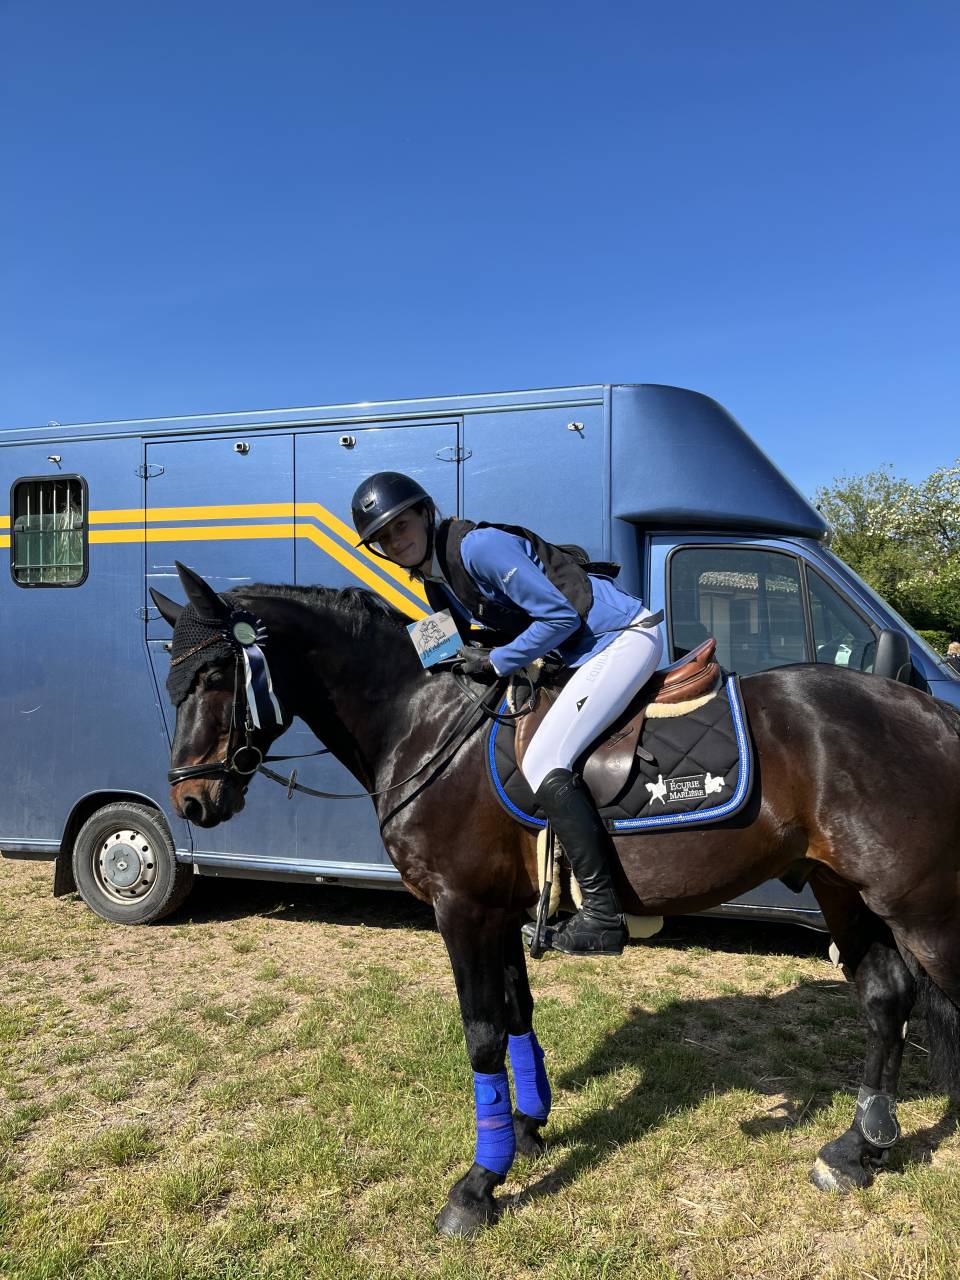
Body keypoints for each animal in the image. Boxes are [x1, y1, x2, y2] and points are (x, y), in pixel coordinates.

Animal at [152, 563, 960, 1237]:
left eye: (216, 675)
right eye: (172, 680)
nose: (192, 800)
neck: (425, 722)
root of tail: (931, 712)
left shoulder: (462, 909)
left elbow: (482, 1034)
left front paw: (478, 1185)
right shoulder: (500, 910)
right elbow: (517, 1015)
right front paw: (527, 1128)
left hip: (922, 909)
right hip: (843, 889)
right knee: (885, 998)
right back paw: (858, 1148)